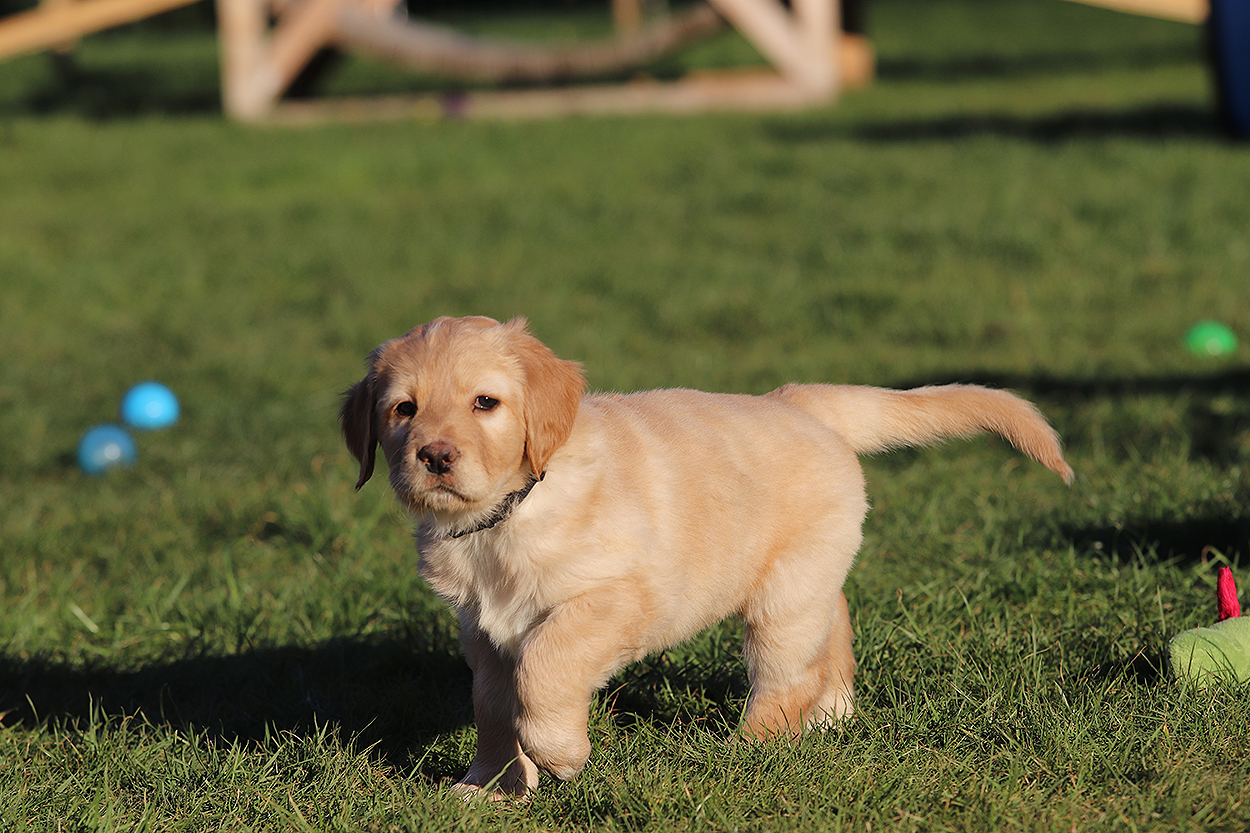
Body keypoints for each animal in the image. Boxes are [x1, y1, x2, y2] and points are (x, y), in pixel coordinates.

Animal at [341, 315, 1073, 799]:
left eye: (485, 402)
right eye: (403, 409)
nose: (435, 455)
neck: (508, 513)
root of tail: (797, 400)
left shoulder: (615, 597)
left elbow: (544, 668)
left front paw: (561, 755)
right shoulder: (483, 627)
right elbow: (494, 702)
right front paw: (489, 786)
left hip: (782, 597)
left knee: (785, 679)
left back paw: (746, 751)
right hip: (809, 577)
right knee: (832, 629)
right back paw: (834, 713)